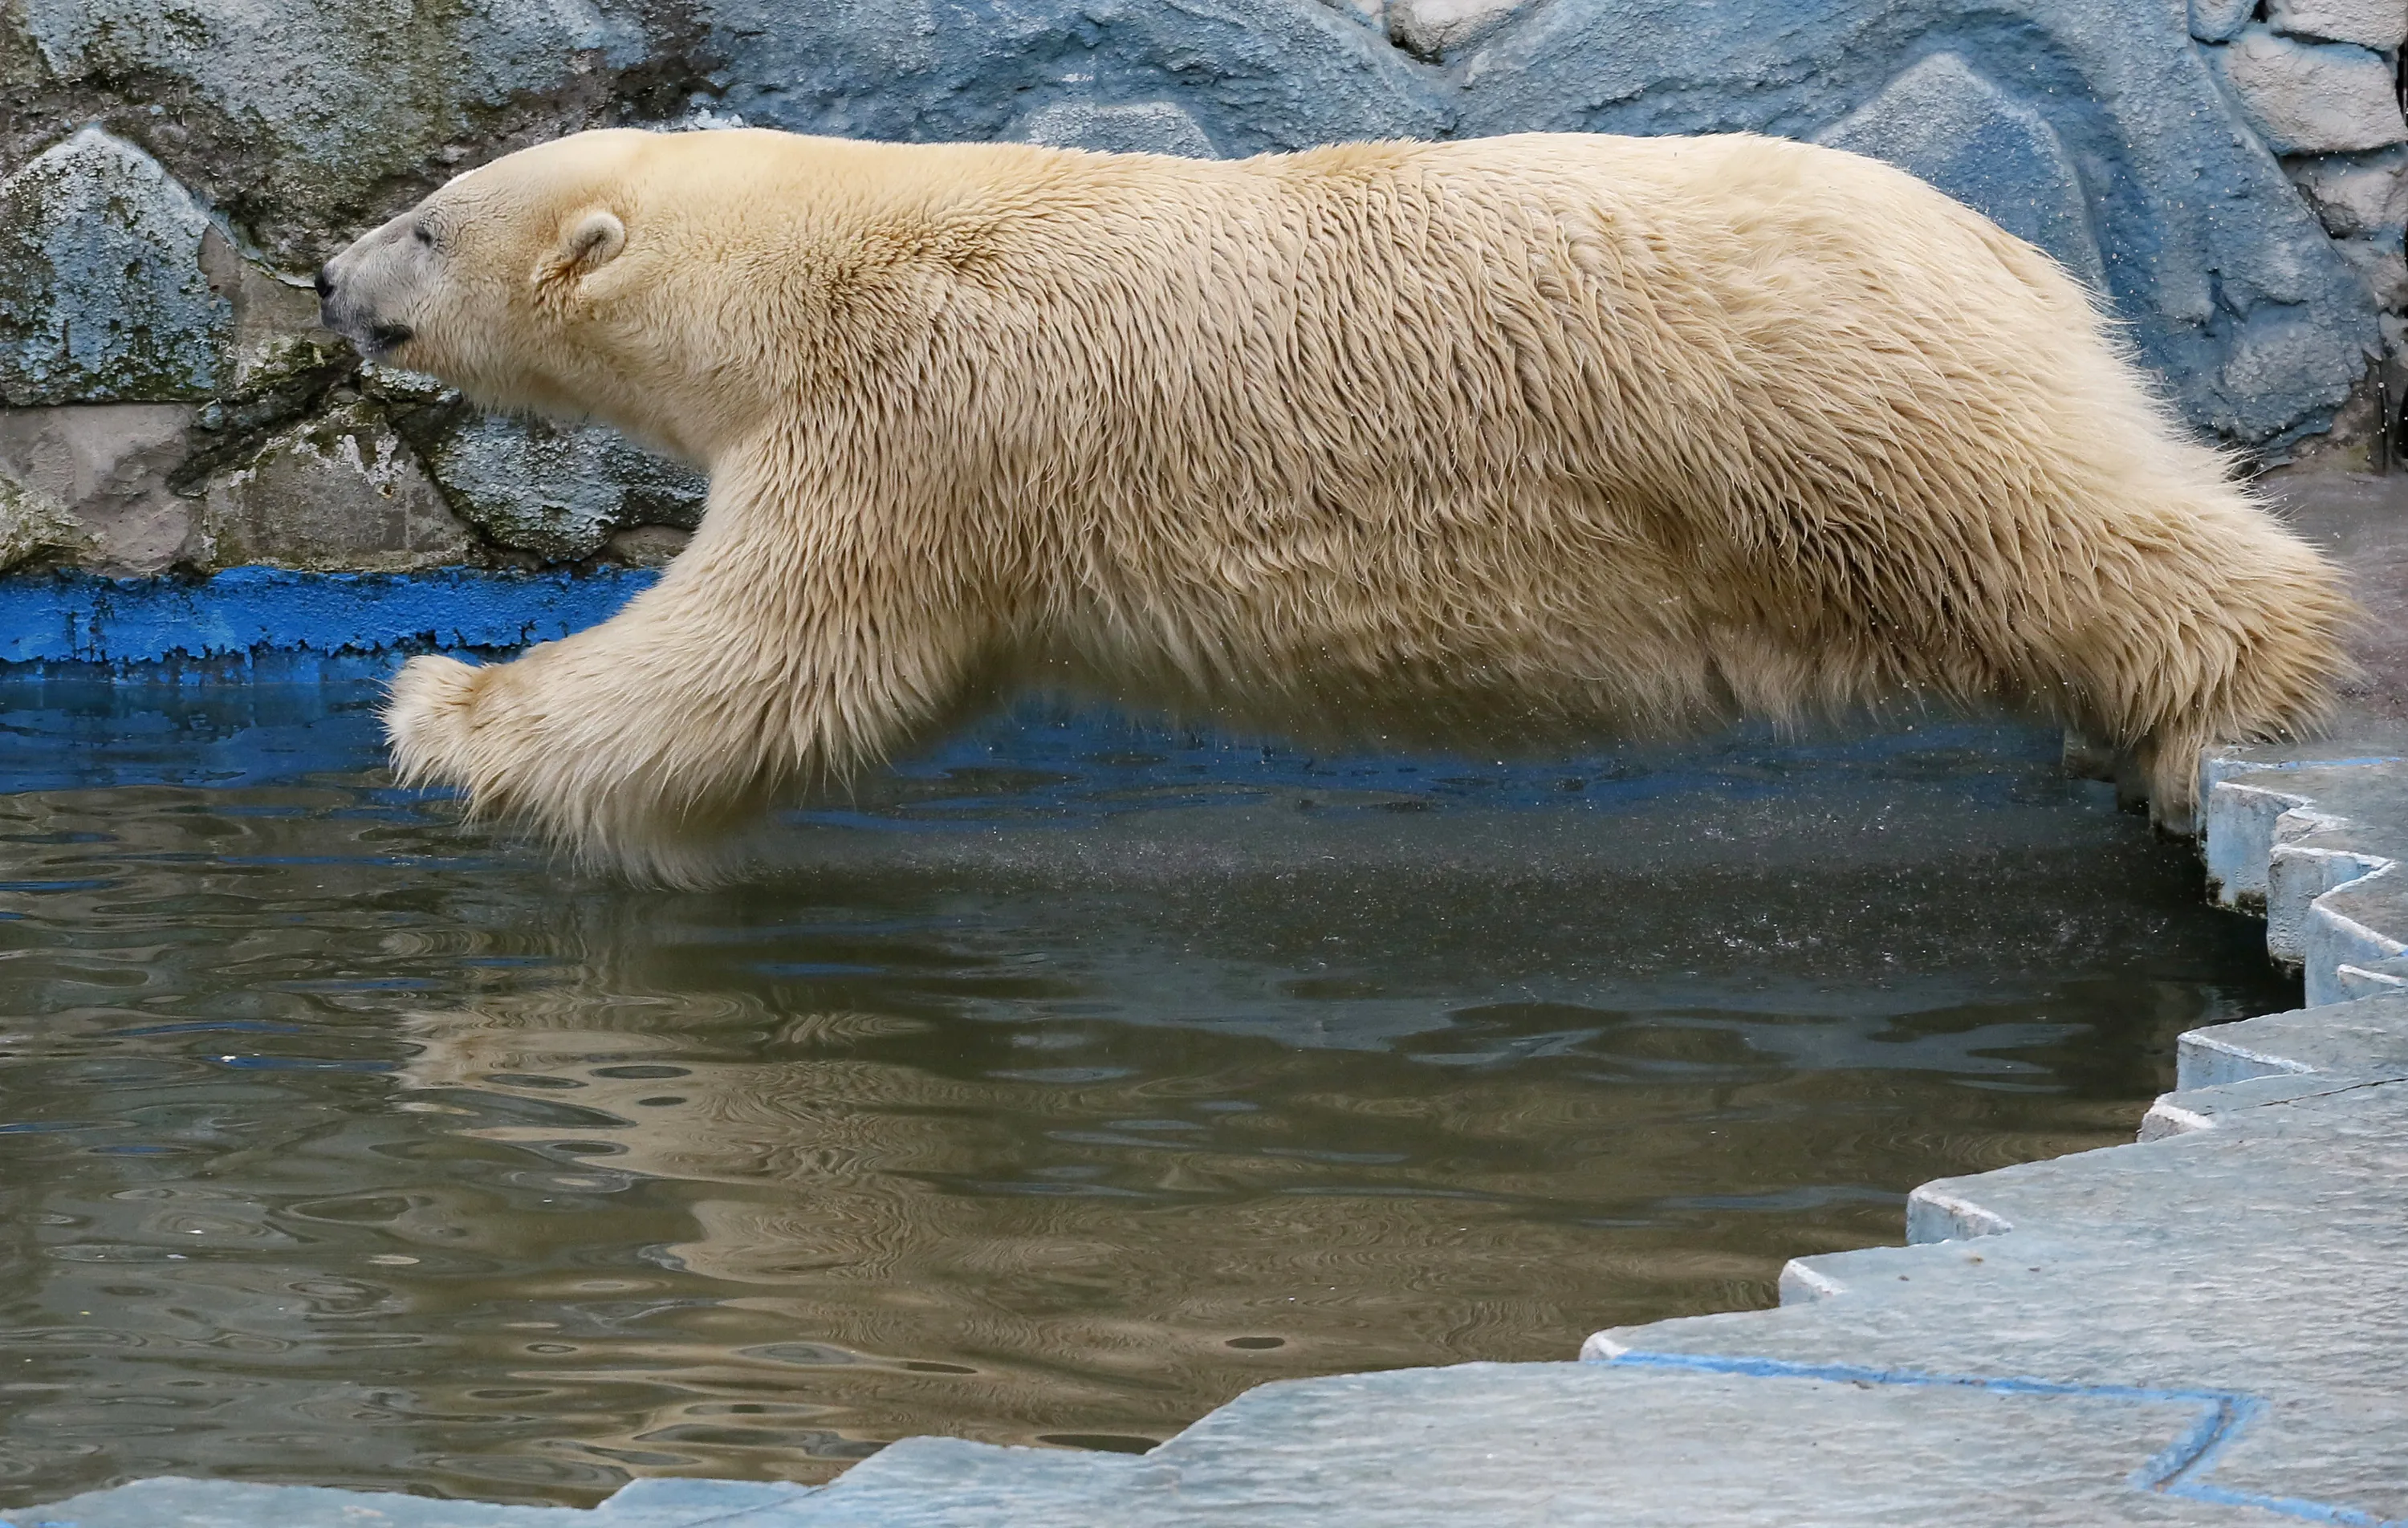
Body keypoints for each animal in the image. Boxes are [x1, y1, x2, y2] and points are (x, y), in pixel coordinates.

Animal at [315, 128, 2350, 885]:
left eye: (423, 218)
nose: (326, 281)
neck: (814, 256)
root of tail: (2005, 244)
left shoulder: (916, 425)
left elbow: (762, 662)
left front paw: (443, 710)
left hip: (1816, 395)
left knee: (2044, 523)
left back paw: (2235, 695)